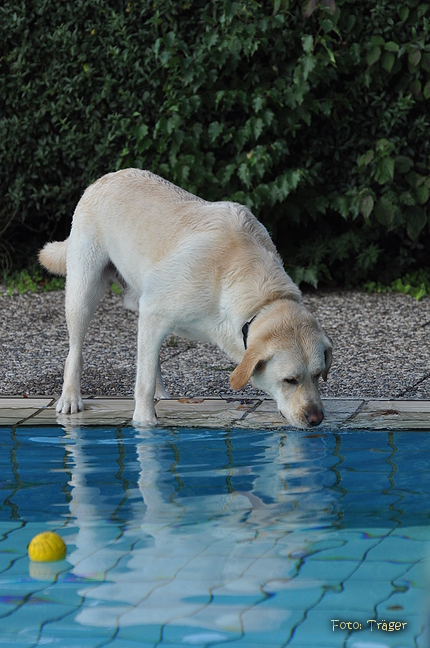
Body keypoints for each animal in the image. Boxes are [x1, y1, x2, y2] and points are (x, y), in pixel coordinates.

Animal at [37, 170, 332, 428]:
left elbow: (147, 365)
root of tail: (105, 178)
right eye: (290, 380)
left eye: (318, 375)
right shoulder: (154, 311)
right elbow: (142, 382)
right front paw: (144, 423)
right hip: (83, 292)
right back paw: (70, 398)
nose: (317, 419)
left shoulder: (153, 315)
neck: (262, 297)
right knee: (75, 352)